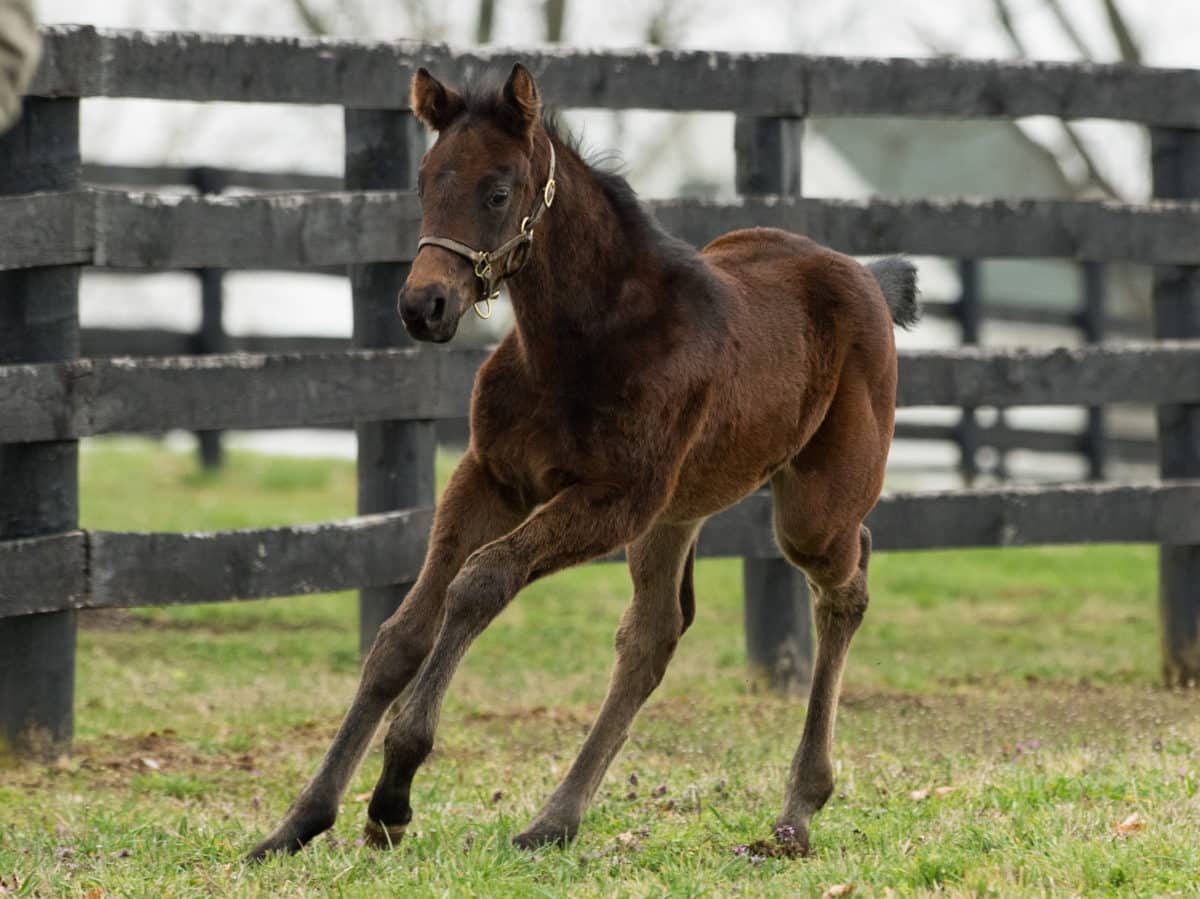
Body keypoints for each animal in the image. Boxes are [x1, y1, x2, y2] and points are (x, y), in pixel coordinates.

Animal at [248, 63, 912, 864]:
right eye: (426, 181)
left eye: (498, 191)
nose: (422, 306)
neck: (581, 343)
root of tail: (866, 276)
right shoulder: (490, 477)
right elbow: (400, 634)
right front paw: (300, 821)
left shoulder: (612, 499)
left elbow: (480, 583)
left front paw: (393, 793)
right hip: (675, 513)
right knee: (654, 635)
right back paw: (554, 820)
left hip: (809, 509)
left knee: (847, 581)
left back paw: (798, 811)